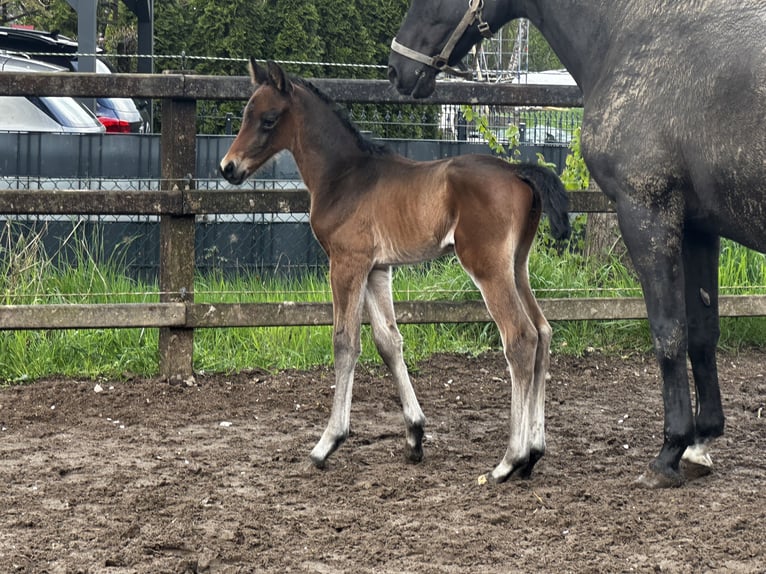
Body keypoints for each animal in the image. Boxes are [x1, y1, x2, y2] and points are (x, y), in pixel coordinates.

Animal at [220, 59, 568, 482]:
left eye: (268, 120)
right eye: (245, 115)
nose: (228, 168)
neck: (345, 175)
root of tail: (518, 172)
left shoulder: (347, 263)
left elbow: (345, 343)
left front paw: (327, 443)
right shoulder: (377, 269)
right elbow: (389, 342)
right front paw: (414, 435)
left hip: (487, 267)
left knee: (520, 338)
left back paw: (508, 461)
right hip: (516, 266)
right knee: (543, 331)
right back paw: (533, 453)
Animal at [392, 0, 766, 488]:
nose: (397, 69)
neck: (629, 35)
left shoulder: (647, 212)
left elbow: (668, 332)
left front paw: (669, 452)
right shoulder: (698, 227)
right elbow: (702, 331)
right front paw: (700, 444)